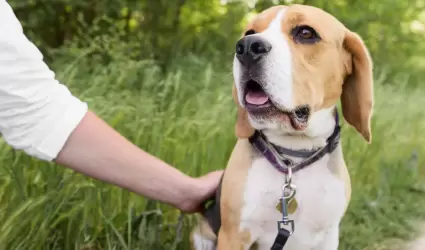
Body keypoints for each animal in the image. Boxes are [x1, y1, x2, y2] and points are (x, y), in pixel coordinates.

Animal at [189, 3, 372, 250]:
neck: (294, 157)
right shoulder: (233, 234)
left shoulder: (329, 235)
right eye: (249, 32)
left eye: (306, 33)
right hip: (201, 234)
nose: (247, 47)